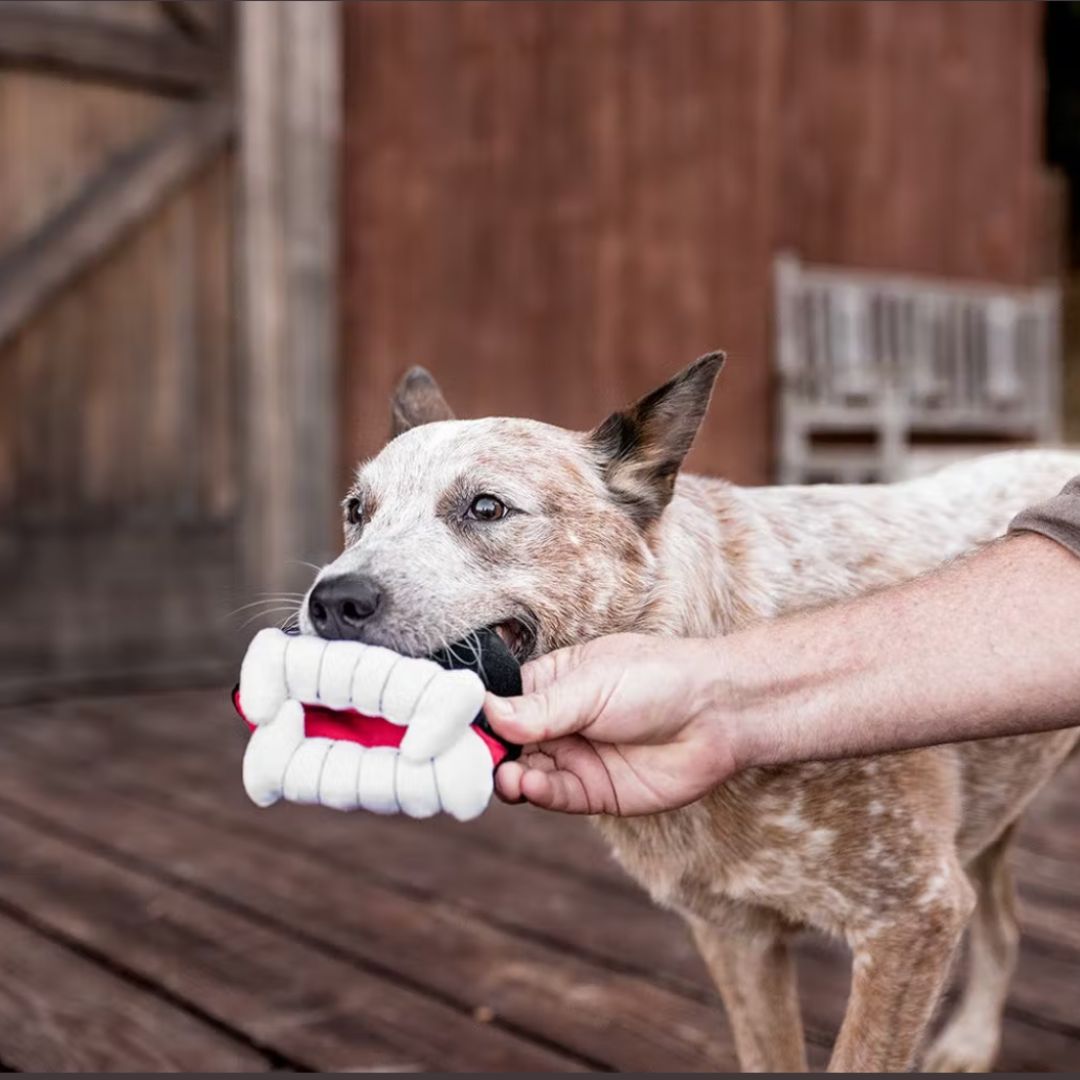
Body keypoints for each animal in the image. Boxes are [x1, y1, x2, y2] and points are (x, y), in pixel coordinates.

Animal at [300, 356, 1080, 1071]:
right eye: (355, 511)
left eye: (486, 508)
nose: (334, 601)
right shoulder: (737, 936)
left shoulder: (912, 917)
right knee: (1005, 922)